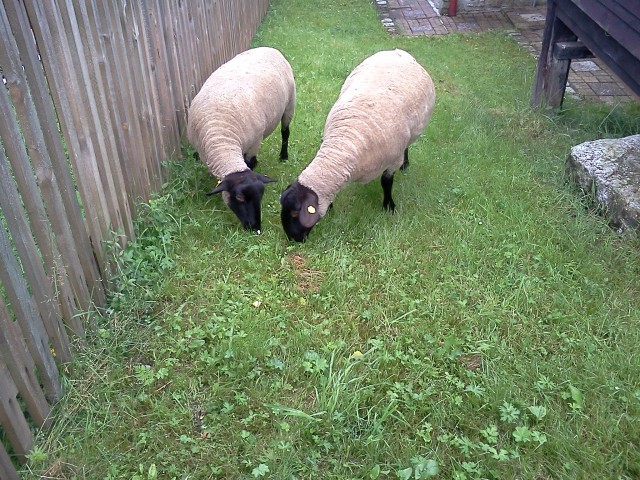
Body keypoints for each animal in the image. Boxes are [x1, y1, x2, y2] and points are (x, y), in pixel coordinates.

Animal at [185, 46, 296, 233]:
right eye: (239, 198)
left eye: (261, 196)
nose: (256, 229)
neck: (222, 139)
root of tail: (270, 48)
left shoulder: (253, 144)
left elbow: (251, 162)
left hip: (289, 106)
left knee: (285, 133)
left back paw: (284, 156)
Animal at [280, 48, 436, 242]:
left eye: (295, 213)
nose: (293, 239)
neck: (345, 143)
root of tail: (397, 51)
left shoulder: (392, 160)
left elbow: (386, 182)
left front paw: (389, 206)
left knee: (407, 147)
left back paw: (405, 164)